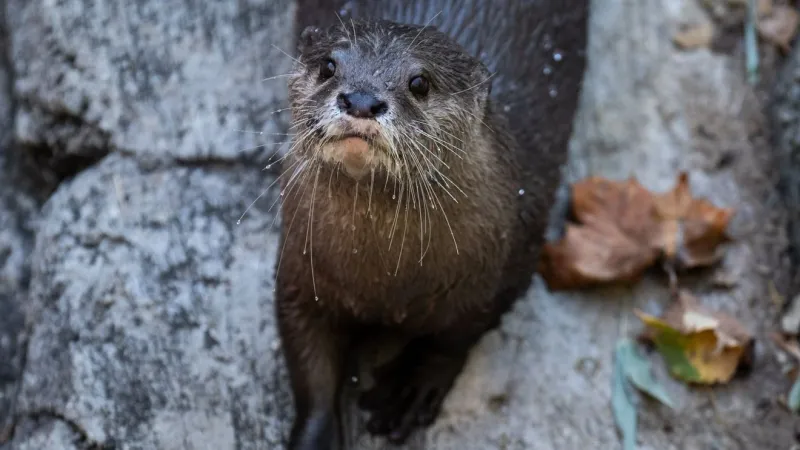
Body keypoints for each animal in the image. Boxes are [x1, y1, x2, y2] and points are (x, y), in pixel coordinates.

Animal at [274, 1, 589, 449]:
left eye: (420, 82)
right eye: (329, 66)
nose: (362, 99)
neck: (383, 281)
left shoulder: (511, 264)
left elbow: (457, 336)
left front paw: (413, 385)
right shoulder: (300, 267)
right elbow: (309, 364)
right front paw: (314, 434)